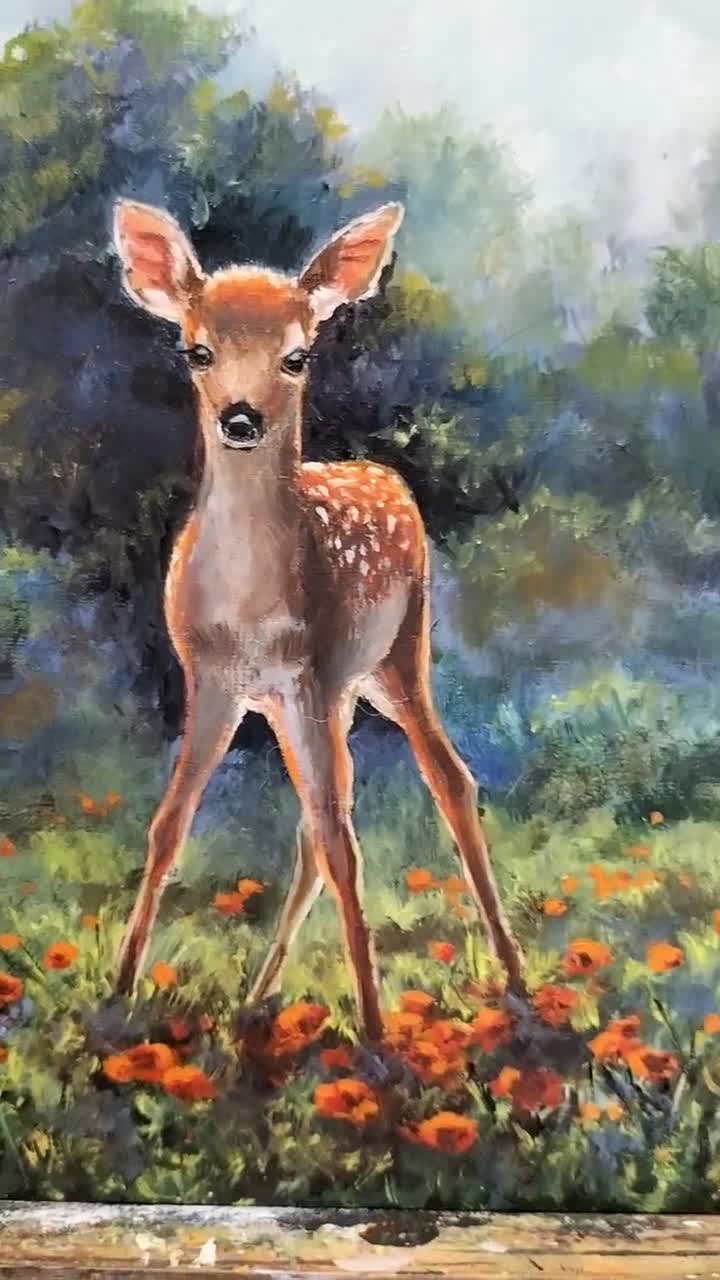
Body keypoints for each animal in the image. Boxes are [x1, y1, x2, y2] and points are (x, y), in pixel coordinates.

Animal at [112, 198, 525, 1042]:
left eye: (297, 357)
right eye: (197, 350)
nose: (240, 418)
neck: (248, 608)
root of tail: (381, 471)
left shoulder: (308, 674)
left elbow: (343, 840)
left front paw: (374, 1031)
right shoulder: (214, 679)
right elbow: (170, 822)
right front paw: (115, 995)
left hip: (395, 654)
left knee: (445, 780)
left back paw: (518, 980)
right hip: (318, 695)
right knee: (315, 821)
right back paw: (256, 997)